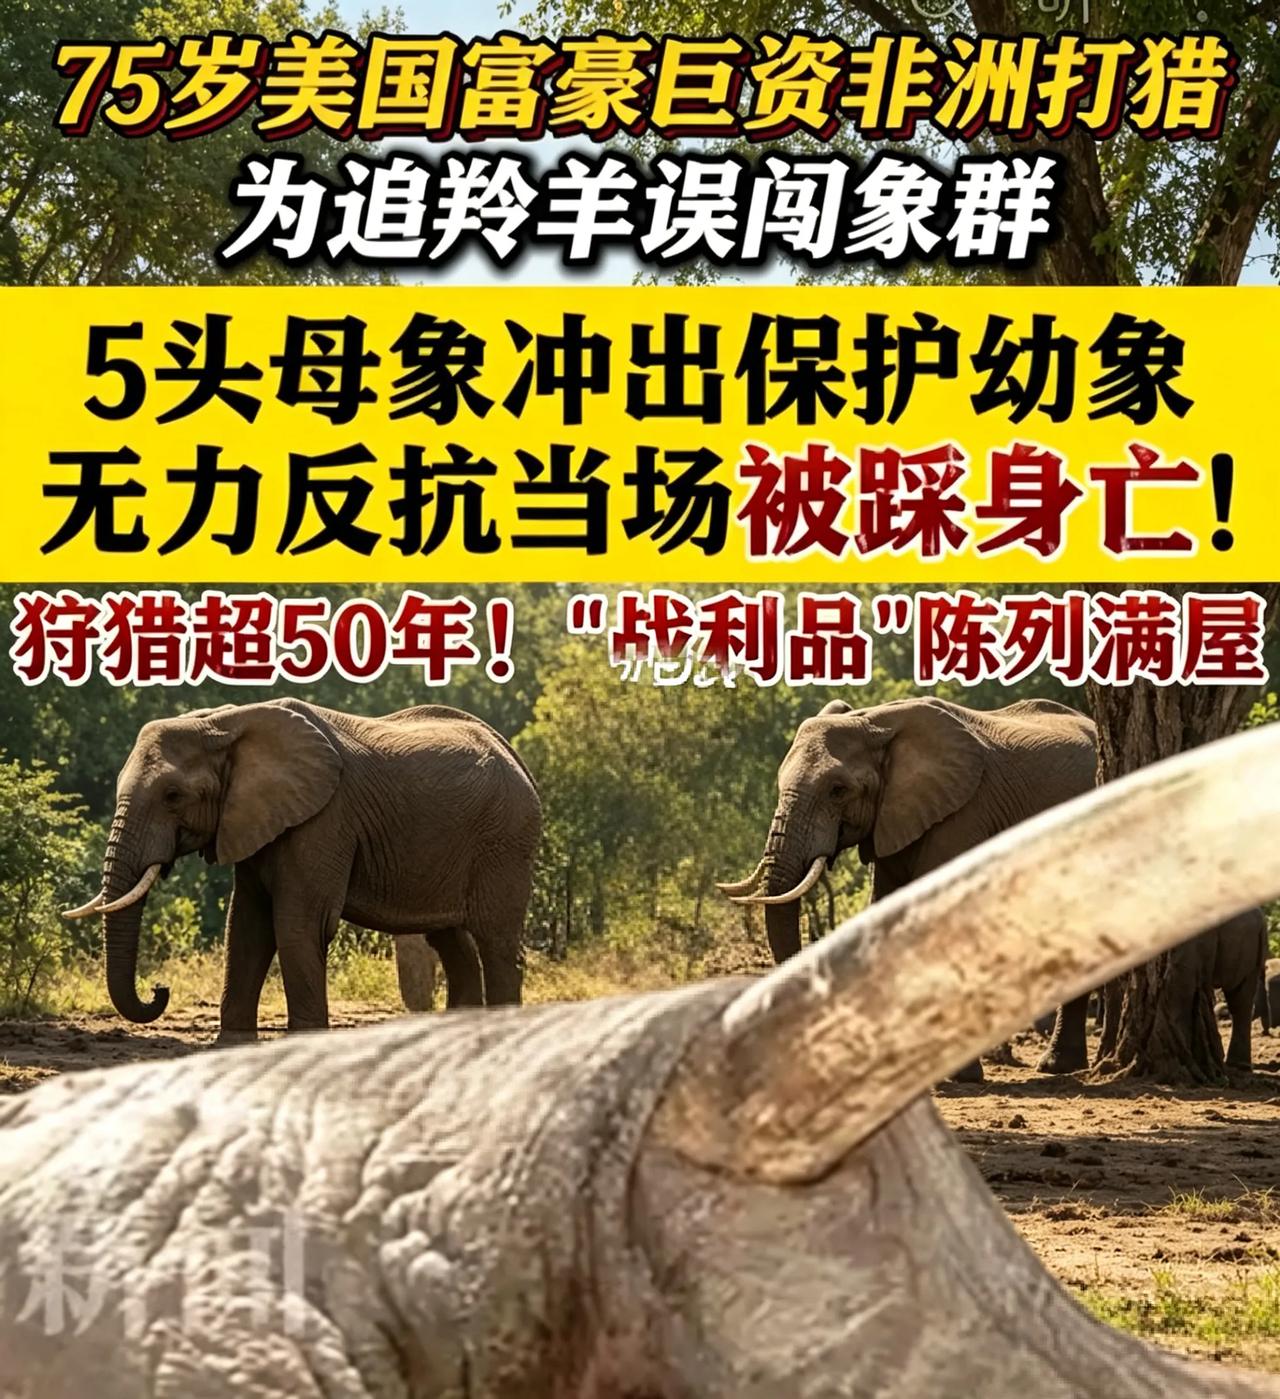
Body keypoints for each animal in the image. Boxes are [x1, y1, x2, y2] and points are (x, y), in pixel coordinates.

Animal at [63, 700, 541, 1037]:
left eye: (173, 795)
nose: (159, 989)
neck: (227, 723)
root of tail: (513, 753)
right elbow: (247, 927)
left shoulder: (325, 820)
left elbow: (298, 924)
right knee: (452, 943)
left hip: (505, 841)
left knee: (496, 942)